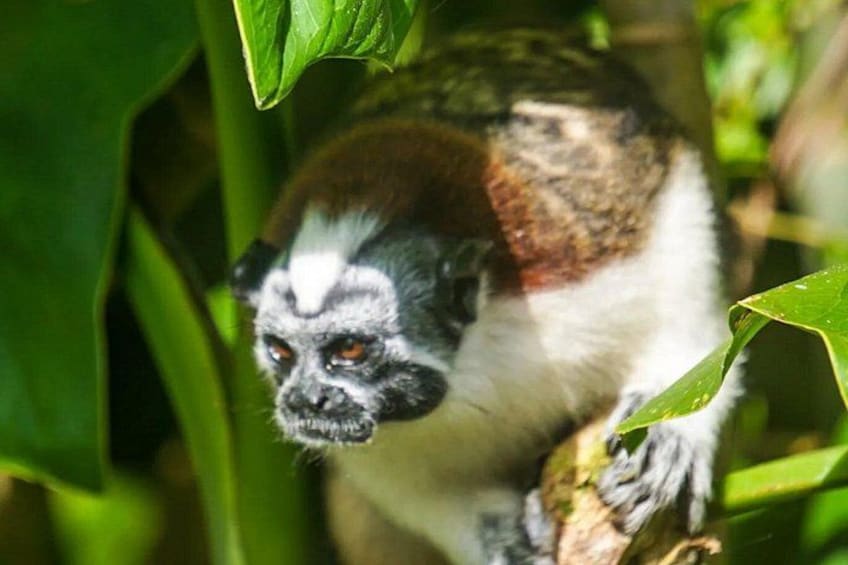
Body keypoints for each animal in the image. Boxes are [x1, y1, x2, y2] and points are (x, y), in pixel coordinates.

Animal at [230, 28, 741, 565]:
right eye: (280, 351)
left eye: (350, 350)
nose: (306, 400)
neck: (475, 363)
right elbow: (411, 492)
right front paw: (500, 536)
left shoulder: (601, 240)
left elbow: (700, 317)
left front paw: (671, 432)